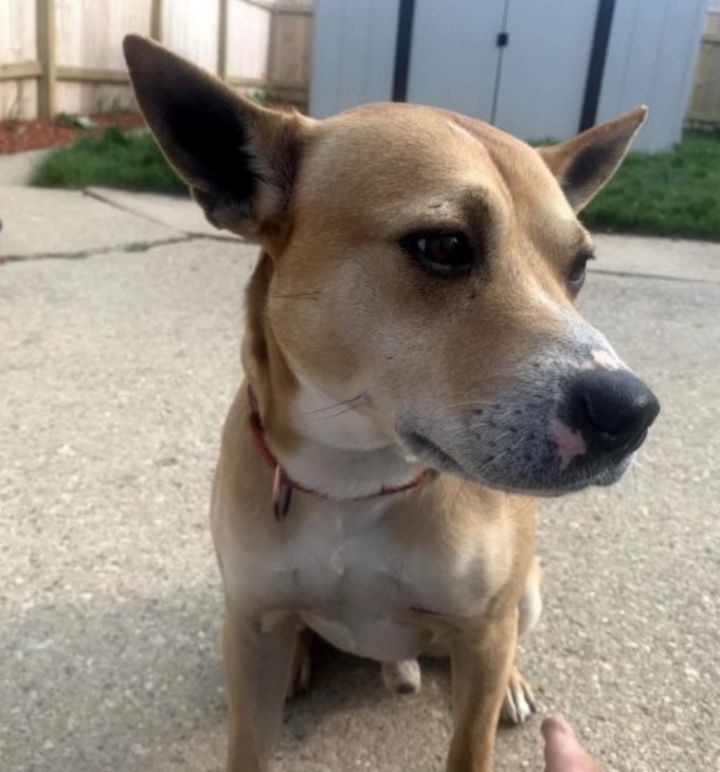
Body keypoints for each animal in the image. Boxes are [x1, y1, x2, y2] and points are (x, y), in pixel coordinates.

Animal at [123, 36, 660, 772]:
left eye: (577, 267)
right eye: (443, 245)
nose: (631, 412)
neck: (355, 479)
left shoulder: (484, 632)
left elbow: (471, 743)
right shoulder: (251, 622)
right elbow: (249, 742)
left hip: (524, 595)